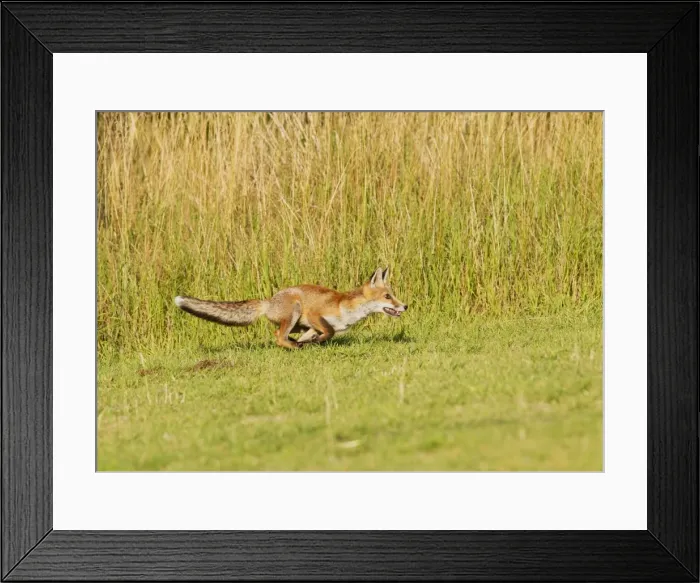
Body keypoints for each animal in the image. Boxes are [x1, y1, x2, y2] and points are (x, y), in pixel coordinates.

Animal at [174, 267, 407, 349]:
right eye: (388, 296)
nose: (405, 305)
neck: (348, 308)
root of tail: (268, 301)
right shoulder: (315, 314)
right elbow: (329, 332)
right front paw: (315, 343)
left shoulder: (312, 325)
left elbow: (321, 334)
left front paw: (312, 342)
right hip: (295, 310)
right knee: (279, 336)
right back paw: (294, 346)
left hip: (297, 323)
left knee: (282, 335)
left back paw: (297, 344)